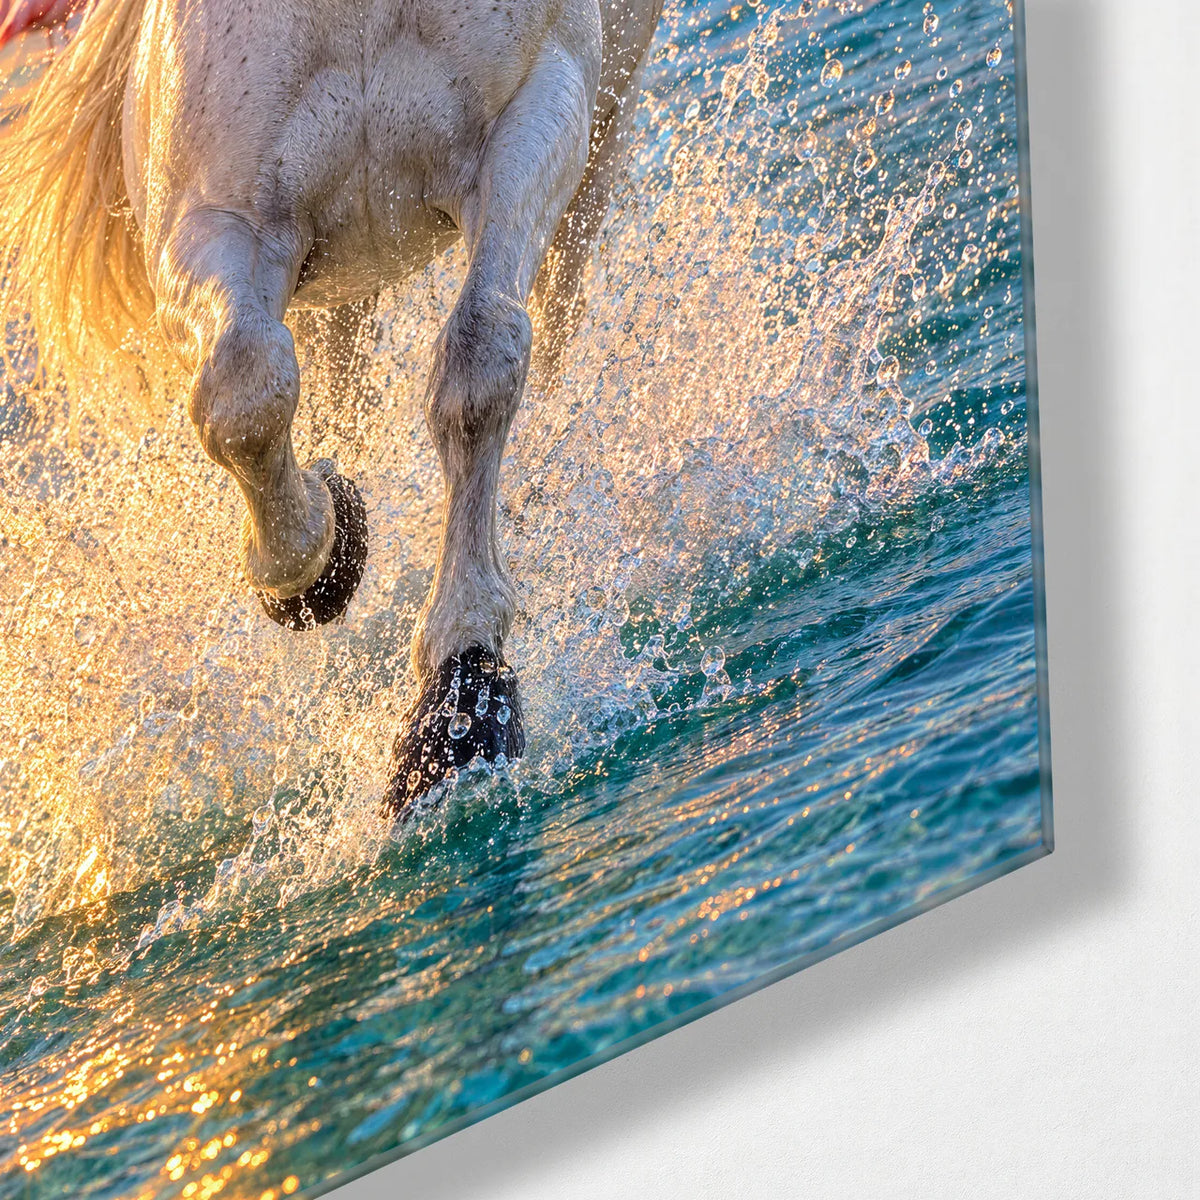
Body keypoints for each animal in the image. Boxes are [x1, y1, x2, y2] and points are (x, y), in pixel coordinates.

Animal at [0, 0, 664, 817]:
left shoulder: (538, 112)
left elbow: (482, 358)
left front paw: (461, 703)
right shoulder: (215, 221)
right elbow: (243, 391)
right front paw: (322, 556)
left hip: (596, 143)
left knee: (555, 313)